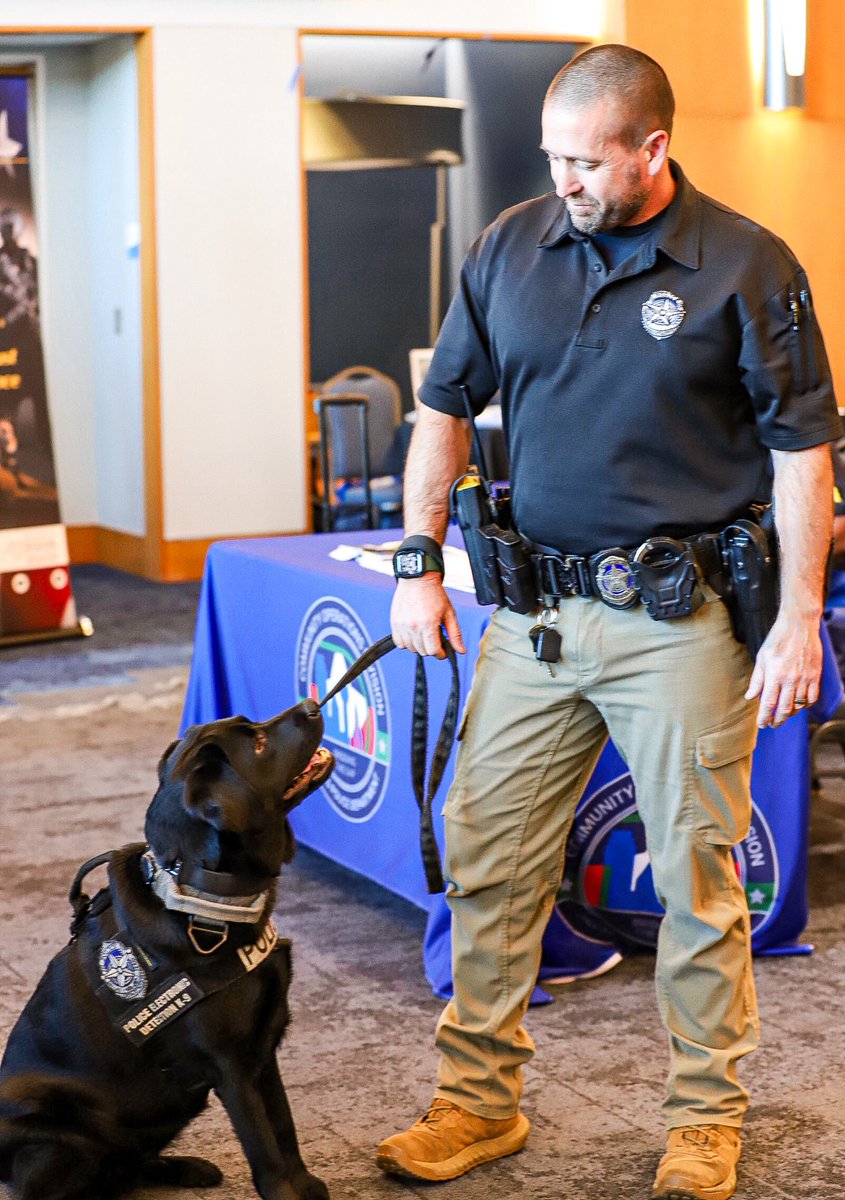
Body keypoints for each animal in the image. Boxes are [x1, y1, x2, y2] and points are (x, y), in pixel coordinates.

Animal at [0, 700, 336, 1195]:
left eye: (254, 726)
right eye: (258, 743)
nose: (312, 704)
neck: (204, 898)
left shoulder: (263, 1048)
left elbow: (283, 1127)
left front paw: (306, 1185)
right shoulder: (231, 1065)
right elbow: (263, 1147)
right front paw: (286, 1191)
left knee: (127, 1164)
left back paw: (183, 1168)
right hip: (57, 1139)